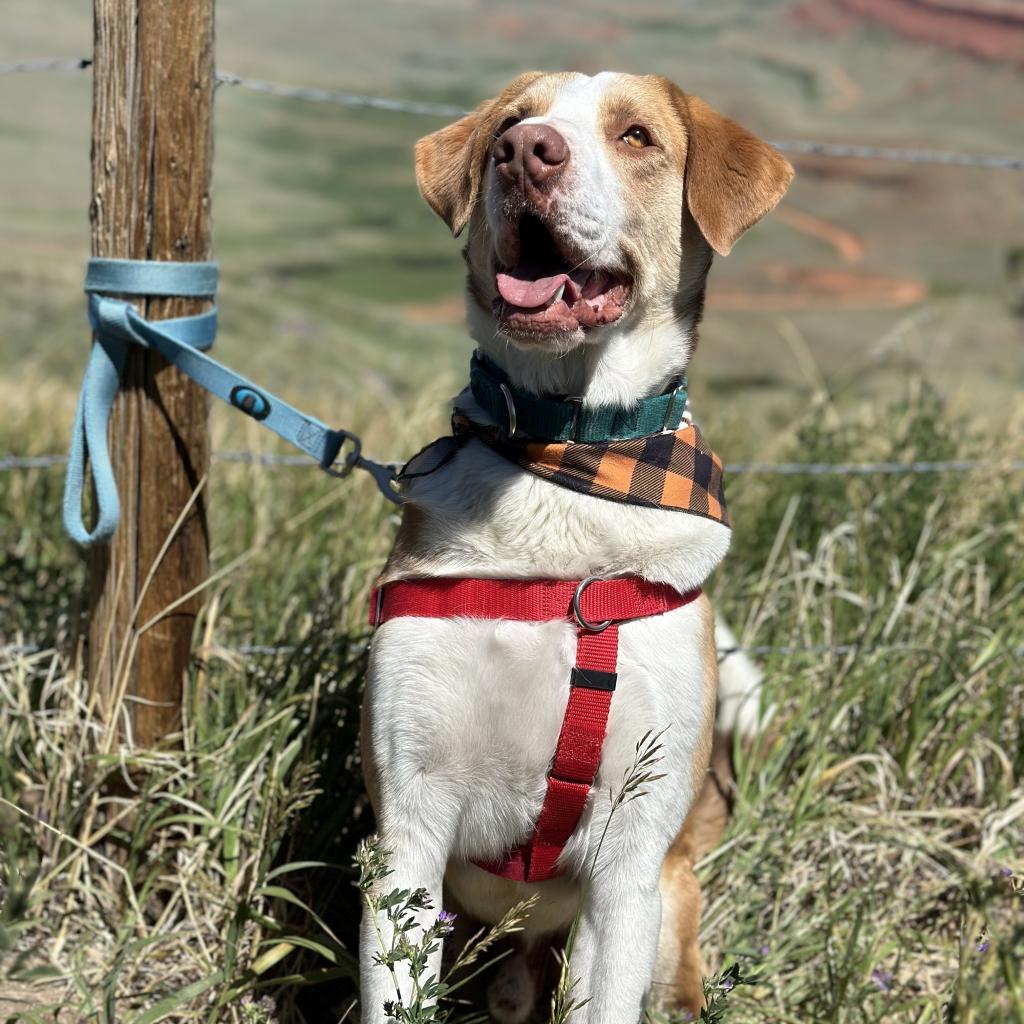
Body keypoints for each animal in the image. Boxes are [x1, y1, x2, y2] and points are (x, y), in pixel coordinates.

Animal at [360, 72, 790, 1024]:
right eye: (514, 123)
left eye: (636, 136)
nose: (526, 153)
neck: (567, 457)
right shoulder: (406, 831)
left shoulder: (627, 865)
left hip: (666, 906)